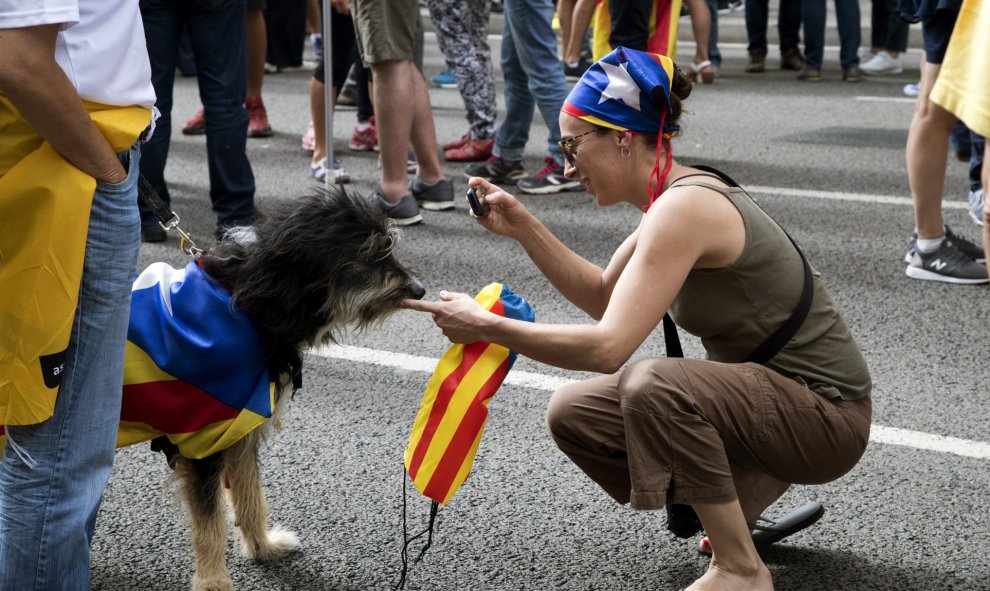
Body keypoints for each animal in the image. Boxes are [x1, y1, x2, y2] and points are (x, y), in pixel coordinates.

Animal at [125, 188, 426, 591]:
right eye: (373, 254)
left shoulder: (237, 428)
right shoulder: (203, 438)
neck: (251, 304)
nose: (419, 290)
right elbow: (210, 525)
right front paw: (213, 582)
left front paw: (262, 547)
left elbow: (250, 496)